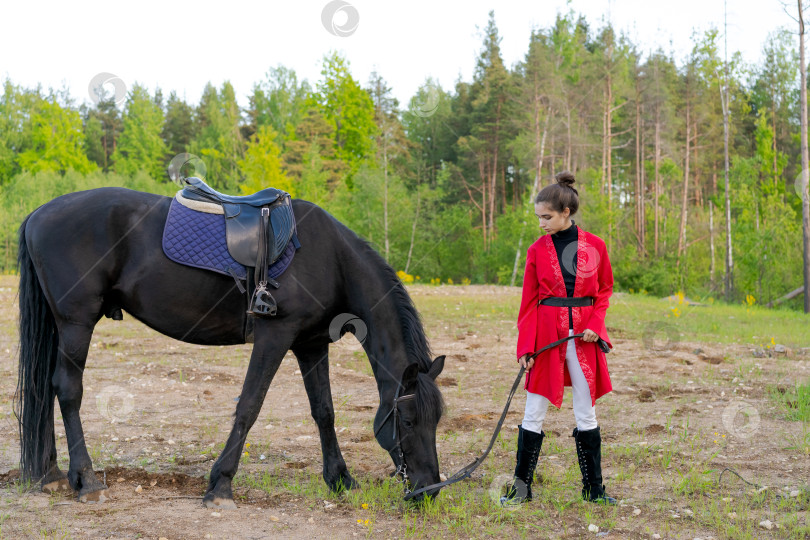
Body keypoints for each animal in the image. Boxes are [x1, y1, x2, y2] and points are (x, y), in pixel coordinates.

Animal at [15, 188, 446, 508]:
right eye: (408, 421)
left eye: (437, 420)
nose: (429, 490)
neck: (331, 259)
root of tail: (38, 212)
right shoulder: (276, 336)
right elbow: (250, 405)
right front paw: (220, 485)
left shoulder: (311, 345)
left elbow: (324, 411)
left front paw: (340, 479)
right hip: (76, 324)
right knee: (68, 391)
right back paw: (86, 480)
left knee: (47, 390)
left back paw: (52, 474)